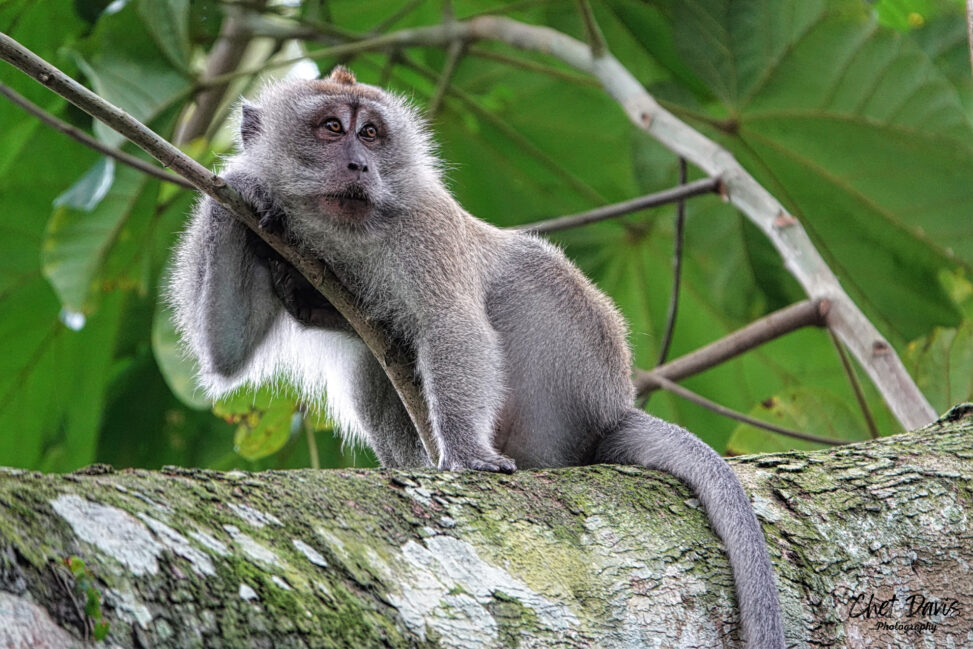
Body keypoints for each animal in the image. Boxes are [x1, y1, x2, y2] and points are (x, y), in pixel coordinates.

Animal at [168, 66, 785, 648]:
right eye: (331, 128)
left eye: (370, 134)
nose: (360, 166)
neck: (341, 229)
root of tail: (612, 410)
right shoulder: (270, 237)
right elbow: (226, 350)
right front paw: (245, 183)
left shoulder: (426, 227)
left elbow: (453, 324)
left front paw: (465, 452)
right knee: (372, 362)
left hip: (573, 378)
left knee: (522, 270)